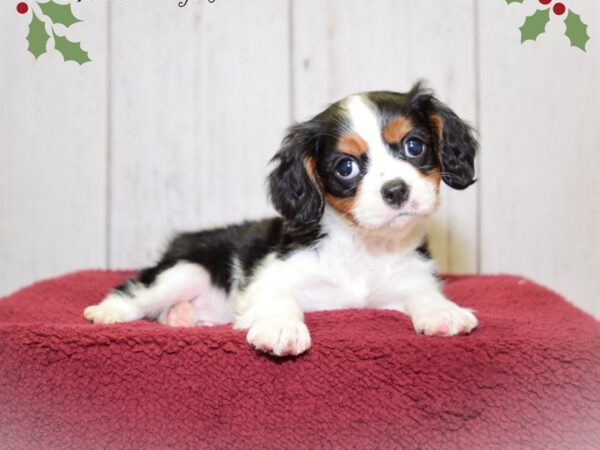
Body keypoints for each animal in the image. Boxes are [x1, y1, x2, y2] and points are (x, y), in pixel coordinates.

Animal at [84, 83, 478, 356]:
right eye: (346, 167)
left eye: (414, 146)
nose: (396, 190)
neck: (363, 245)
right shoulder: (270, 277)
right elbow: (279, 299)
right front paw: (280, 328)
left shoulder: (410, 281)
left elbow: (424, 295)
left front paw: (443, 312)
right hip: (185, 270)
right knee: (136, 290)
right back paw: (107, 312)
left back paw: (182, 317)